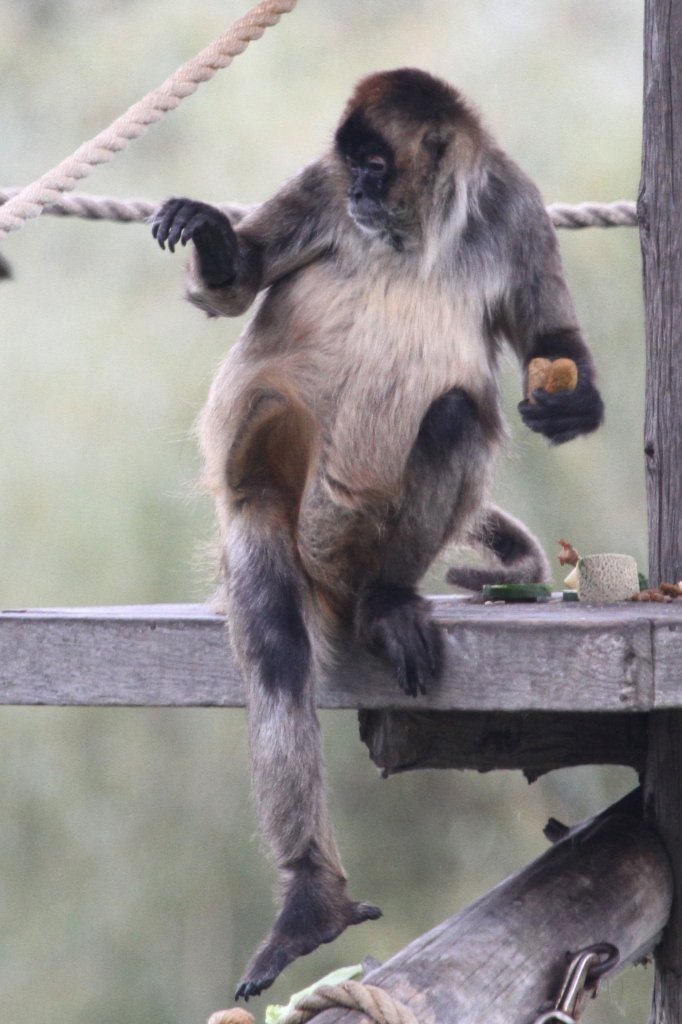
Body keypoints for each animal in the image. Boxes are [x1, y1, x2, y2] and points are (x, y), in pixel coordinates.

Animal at [151, 70, 602, 999]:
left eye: (377, 165)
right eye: (352, 165)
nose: (359, 190)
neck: (419, 235)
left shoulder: (513, 204)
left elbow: (548, 343)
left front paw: (573, 401)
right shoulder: (323, 191)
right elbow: (235, 289)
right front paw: (213, 238)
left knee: (456, 413)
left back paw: (389, 599)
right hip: (278, 522)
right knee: (278, 641)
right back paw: (310, 902)